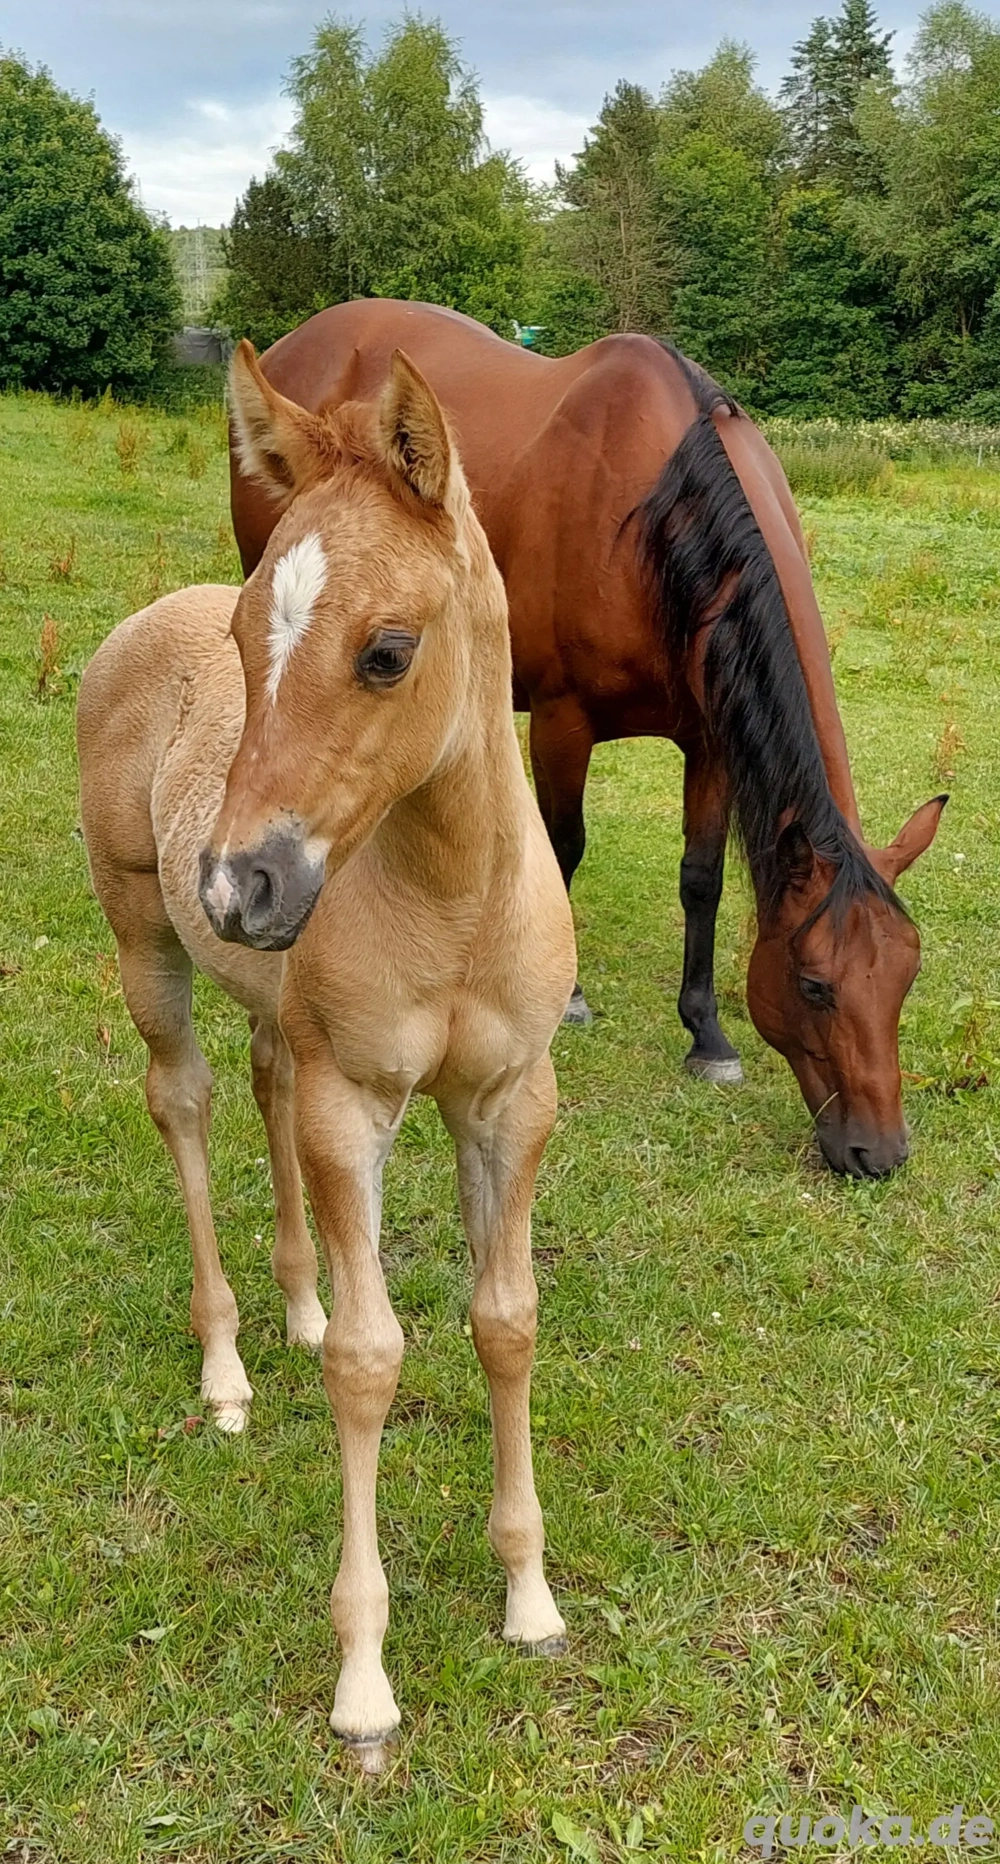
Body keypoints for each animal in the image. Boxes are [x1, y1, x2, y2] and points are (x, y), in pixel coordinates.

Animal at [77, 346, 576, 1769]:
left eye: (386, 653)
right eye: (251, 639)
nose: (237, 884)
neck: (454, 895)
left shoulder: (509, 1102)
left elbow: (504, 1320)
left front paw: (529, 1597)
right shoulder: (359, 1105)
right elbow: (373, 1361)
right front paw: (364, 1678)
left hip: (272, 1006)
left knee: (261, 1082)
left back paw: (292, 1308)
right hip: (144, 940)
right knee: (185, 1102)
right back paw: (231, 1367)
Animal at [229, 300, 946, 1179]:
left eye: (905, 978)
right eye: (815, 985)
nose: (878, 1151)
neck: (656, 518)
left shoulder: (710, 741)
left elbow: (701, 878)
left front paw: (707, 1033)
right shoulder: (563, 722)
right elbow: (565, 847)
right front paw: (566, 997)